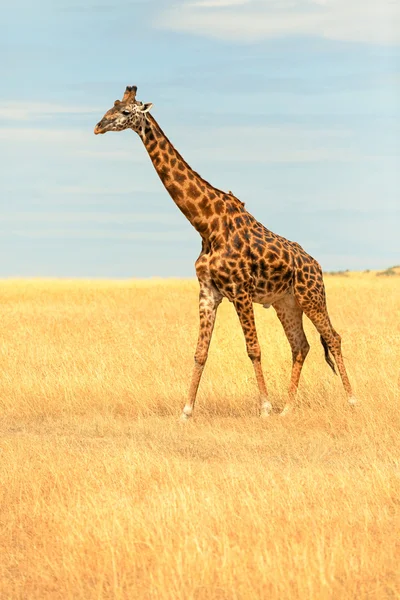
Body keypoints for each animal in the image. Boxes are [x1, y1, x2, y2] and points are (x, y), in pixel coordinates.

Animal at [94, 86, 356, 420]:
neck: (207, 224)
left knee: (333, 337)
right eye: (112, 105)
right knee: (301, 345)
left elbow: (254, 349)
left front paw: (264, 408)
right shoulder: (209, 291)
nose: (98, 126)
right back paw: (288, 408)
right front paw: (187, 410)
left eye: (127, 112)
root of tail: (317, 266)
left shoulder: (240, 289)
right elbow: (200, 352)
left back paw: (351, 400)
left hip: (311, 296)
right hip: (286, 302)